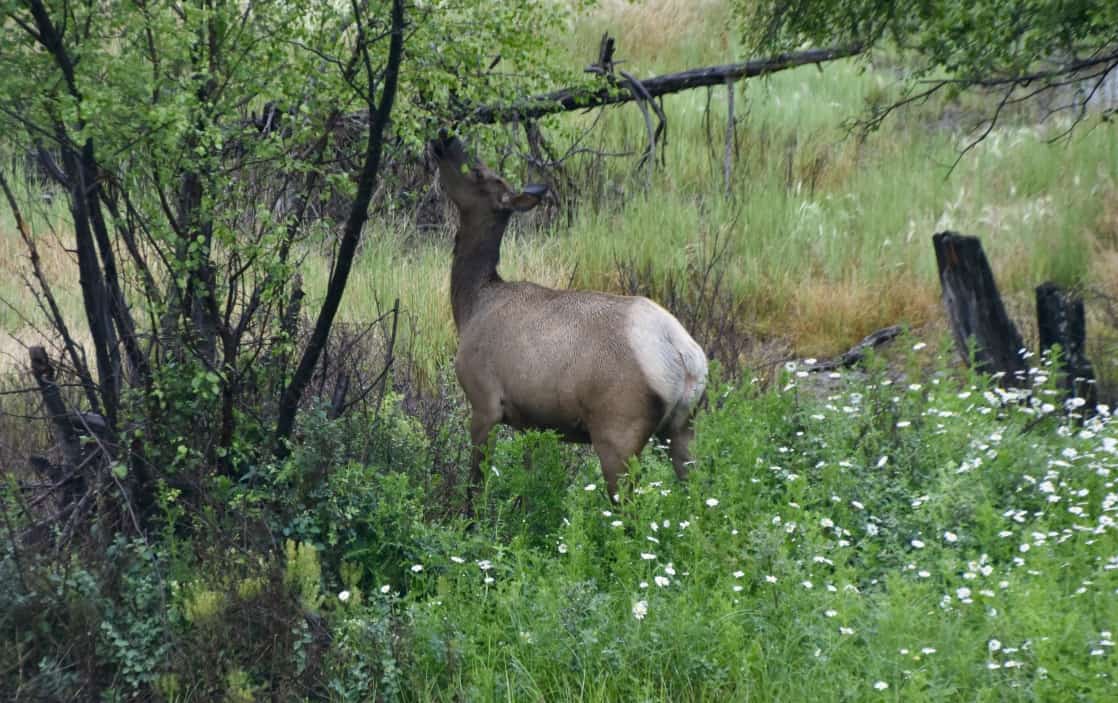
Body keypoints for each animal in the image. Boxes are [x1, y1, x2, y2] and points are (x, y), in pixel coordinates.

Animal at [430, 130, 708, 509]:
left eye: (478, 172)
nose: (446, 137)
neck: (470, 304)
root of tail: (685, 358)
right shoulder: (531, 421)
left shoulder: (484, 400)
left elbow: (475, 484)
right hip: (682, 427)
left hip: (618, 432)